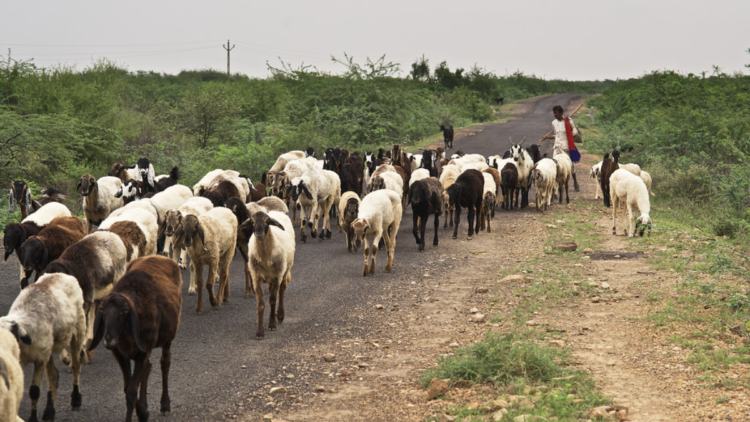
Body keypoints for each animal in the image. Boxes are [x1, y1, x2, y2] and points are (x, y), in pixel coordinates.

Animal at [0, 272, 85, 422]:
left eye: (11, 335)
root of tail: (61, 274)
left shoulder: (39, 359)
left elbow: (34, 391)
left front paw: (33, 418)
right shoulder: (32, 356)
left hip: (77, 331)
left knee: (76, 366)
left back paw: (76, 400)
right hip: (48, 349)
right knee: (53, 375)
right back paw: (49, 412)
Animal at [87, 254, 181, 422]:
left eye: (125, 311)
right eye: (102, 311)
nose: (108, 340)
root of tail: (158, 256)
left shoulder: (142, 352)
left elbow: (131, 391)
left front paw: (141, 413)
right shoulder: (121, 354)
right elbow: (127, 388)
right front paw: (143, 412)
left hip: (168, 338)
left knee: (165, 364)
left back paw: (165, 404)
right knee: (148, 368)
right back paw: (145, 405)